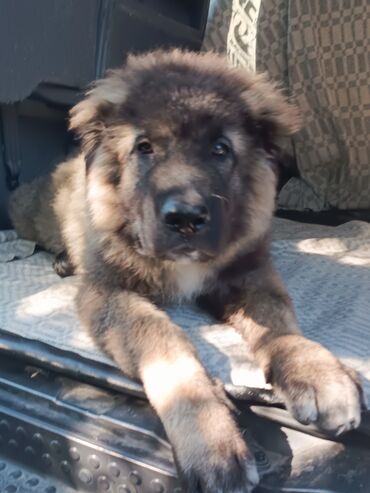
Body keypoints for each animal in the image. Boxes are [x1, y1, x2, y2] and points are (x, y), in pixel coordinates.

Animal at [9, 48, 364, 490]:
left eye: (220, 148)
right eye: (144, 147)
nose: (185, 219)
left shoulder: (246, 274)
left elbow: (278, 323)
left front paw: (316, 371)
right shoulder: (108, 291)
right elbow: (164, 344)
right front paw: (210, 441)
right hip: (34, 215)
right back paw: (62, 259)